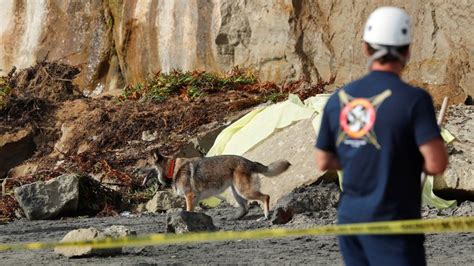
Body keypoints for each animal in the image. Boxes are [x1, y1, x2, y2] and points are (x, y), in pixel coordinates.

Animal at [141, 150, 290, 220]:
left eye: (147, 164)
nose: (136, 171)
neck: (172, 168)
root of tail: (249, 161)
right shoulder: (194, 199)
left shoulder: (189, 196)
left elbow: (188, 211)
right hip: (236, 192)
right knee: (245, 208)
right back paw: (234, 218)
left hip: (243, 191)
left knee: (265, 197)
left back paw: (265, 215)